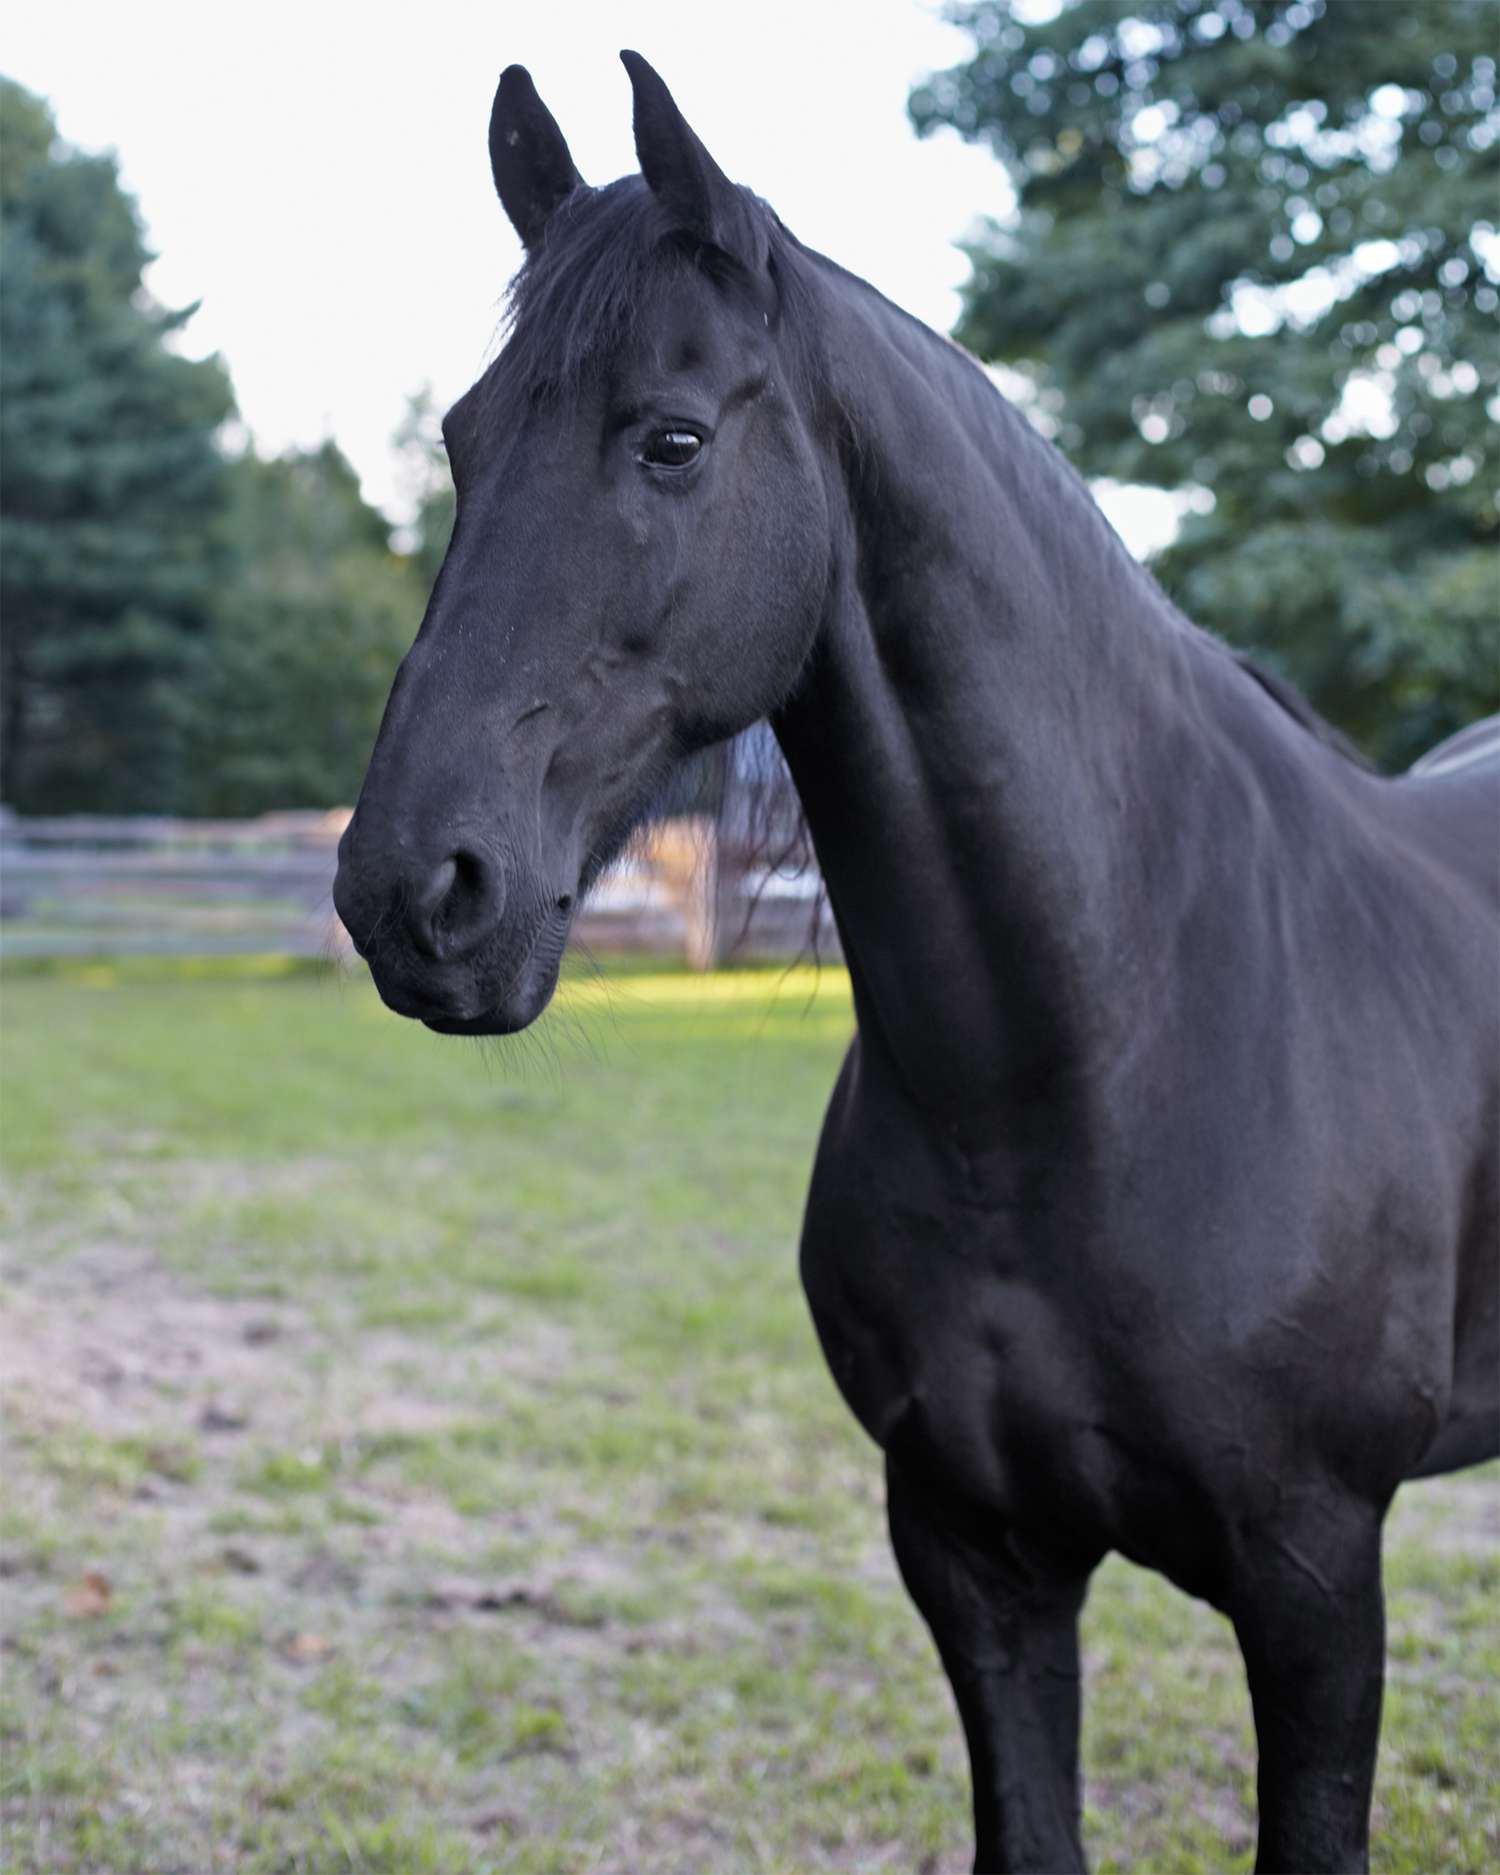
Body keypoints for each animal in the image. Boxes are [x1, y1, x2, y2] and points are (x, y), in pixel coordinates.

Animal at [332, 54, 1499, 1875]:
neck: (1113, 1044)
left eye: (671, 438)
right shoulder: (972, 1555)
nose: (413, 888)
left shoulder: (1318, 1584)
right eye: (462, 438)